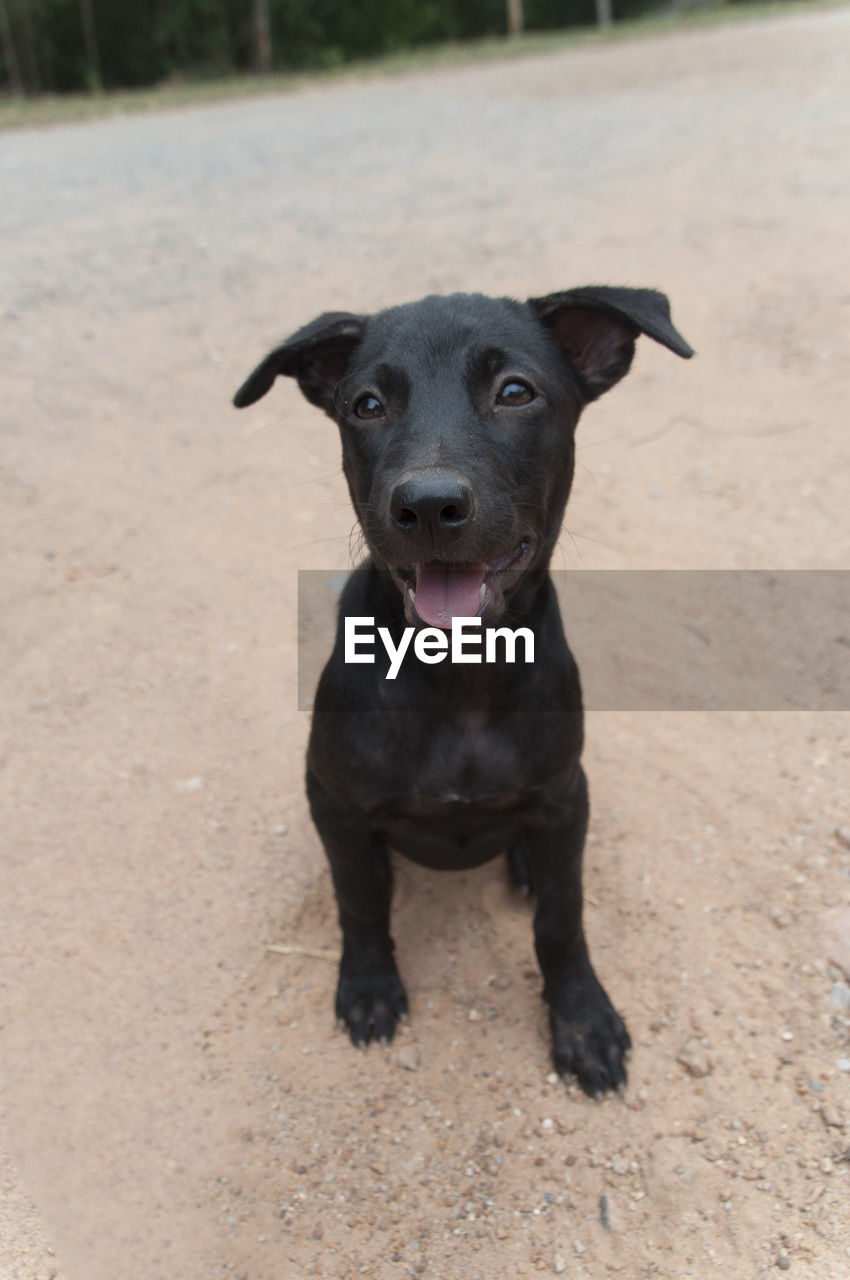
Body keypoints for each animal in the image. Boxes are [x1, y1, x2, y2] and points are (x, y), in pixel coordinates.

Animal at [234, 290, 691, 1100]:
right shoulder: (335, 802)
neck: (461, 678)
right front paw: (369, 986)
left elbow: (563, 918)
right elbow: (358, 899)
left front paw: (582, 1021)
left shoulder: (563, 796)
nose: (427, 505)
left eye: (515, 392)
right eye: (366, 404)